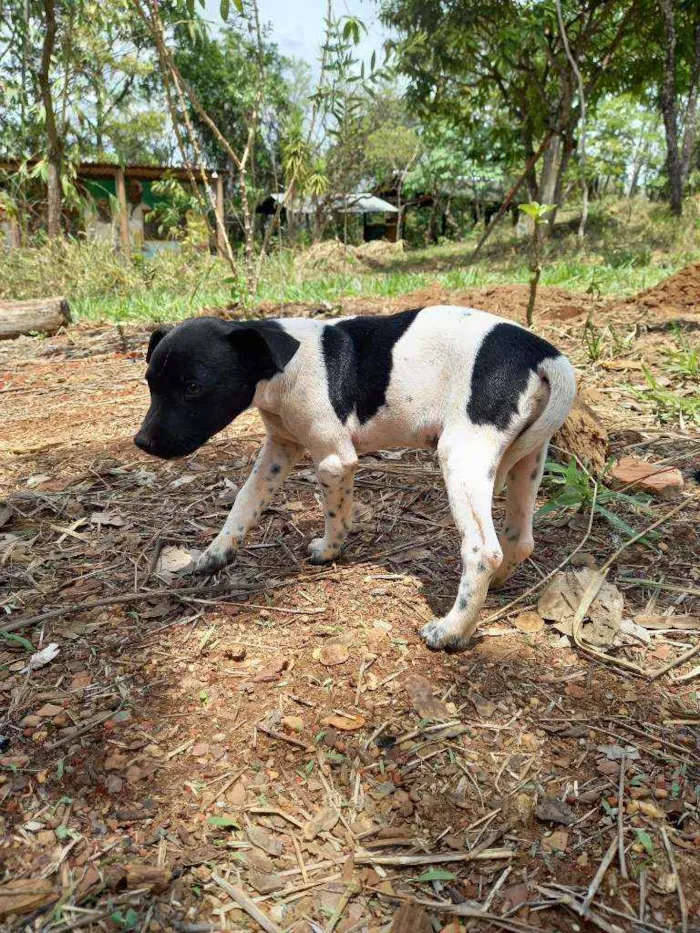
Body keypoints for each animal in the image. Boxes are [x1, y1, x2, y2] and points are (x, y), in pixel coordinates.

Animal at [135, 310, 576, 652]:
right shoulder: (279, 449)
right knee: (519, 539)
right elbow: (246, 501)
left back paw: (452, 630)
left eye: (194, 388)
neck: (282, 361)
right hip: (528, 458)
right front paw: (216, 553)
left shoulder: (334, 460)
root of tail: (543, 353)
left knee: (484, 549)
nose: (142, 442)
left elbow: (334, 511)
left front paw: (330, 550)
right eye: (150, 384)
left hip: (462, 455)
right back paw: (494, 588)